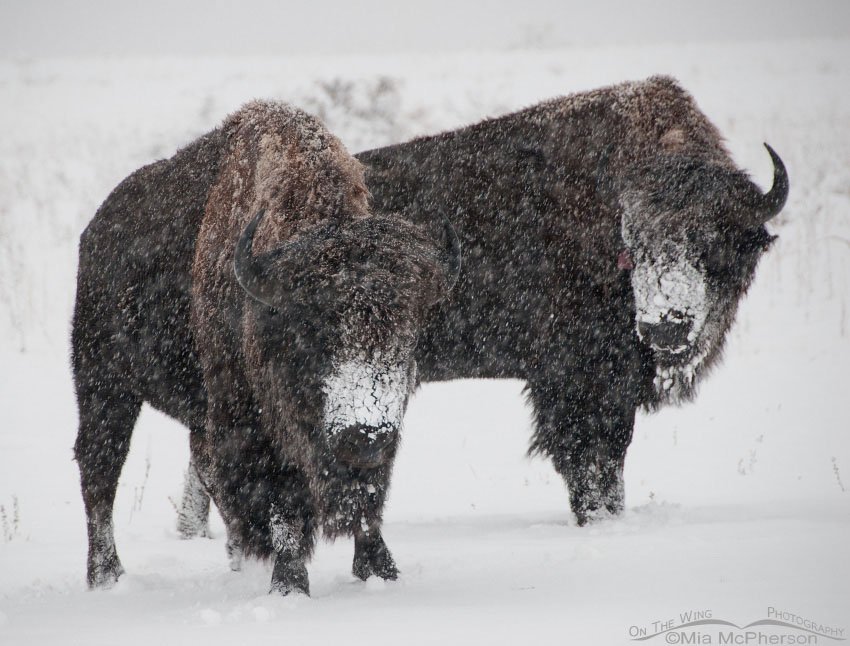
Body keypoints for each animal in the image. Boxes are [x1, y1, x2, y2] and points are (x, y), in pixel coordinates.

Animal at [72, 101, 460, 594]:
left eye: (408, 334)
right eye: (311, 334)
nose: (364, 435)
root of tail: (95, 232)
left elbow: (366, 504)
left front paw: (381, 572)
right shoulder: (256, 430)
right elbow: (283, 506)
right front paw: (290, 585)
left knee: (200, 467)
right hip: (103, 383)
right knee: (100, 469)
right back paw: (107, 576)